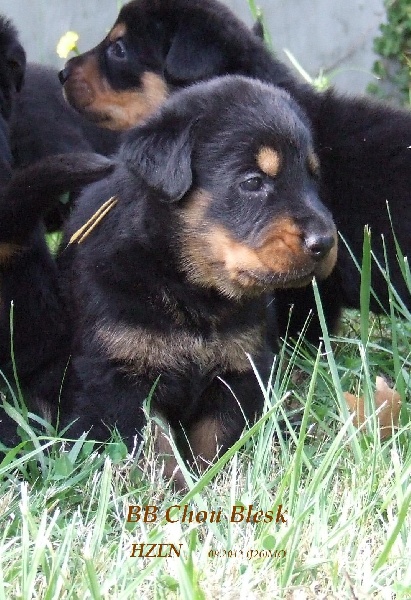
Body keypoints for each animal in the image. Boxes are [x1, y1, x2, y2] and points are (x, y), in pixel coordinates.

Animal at [59, 76, 337, 484]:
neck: (191, 289)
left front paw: (210, 481)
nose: (325, 242)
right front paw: (175, 487)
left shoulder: (240, 368)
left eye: (313, 179)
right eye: (252, 182)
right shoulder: (120, 375)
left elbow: (215, 439)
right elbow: (156, 446)